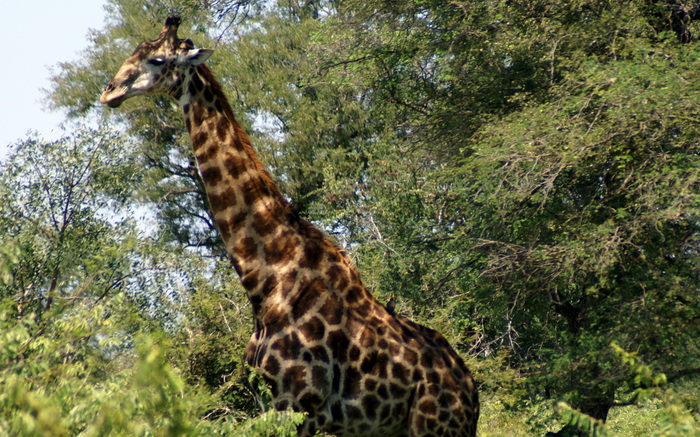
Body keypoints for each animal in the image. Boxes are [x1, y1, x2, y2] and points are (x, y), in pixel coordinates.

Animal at [100, 16, 479, 437]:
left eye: (157, 59)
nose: (109, 92)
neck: (268, 278)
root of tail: (472, 393)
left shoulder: (298, 403)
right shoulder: (272, 400)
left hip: (433, 428)